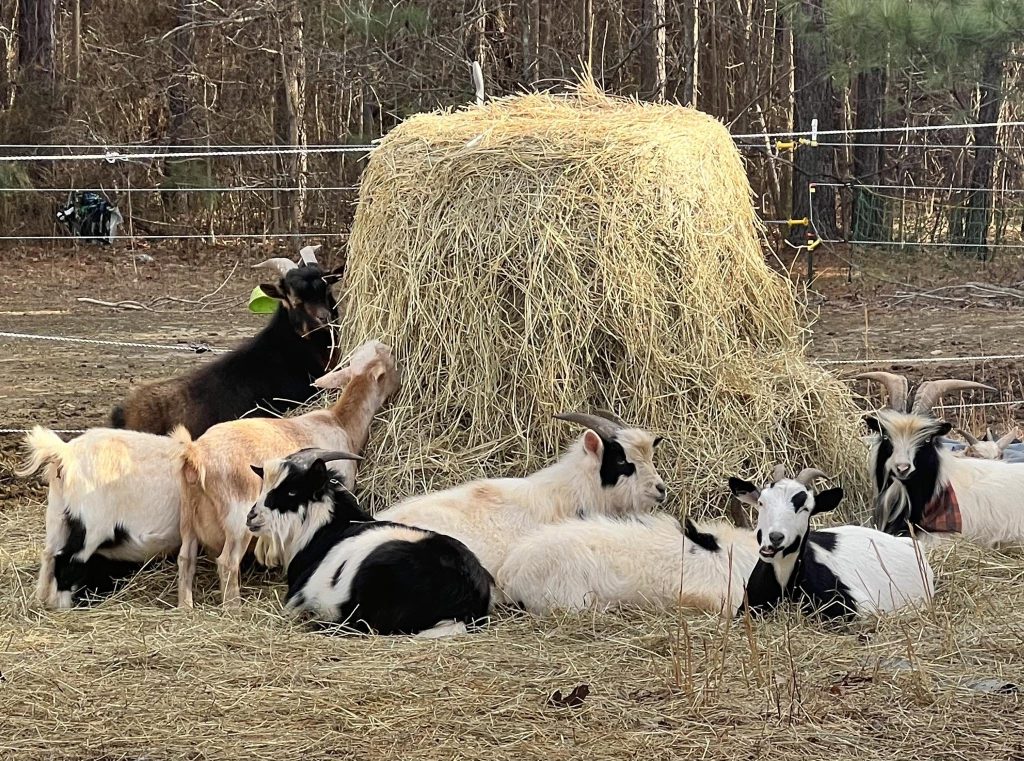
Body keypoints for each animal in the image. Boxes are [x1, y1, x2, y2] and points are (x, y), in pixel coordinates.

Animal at [17, 427, 188, 609]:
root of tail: (66, 453)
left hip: (57, 515)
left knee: (49, 555)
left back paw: (40, 601)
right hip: (93, 525)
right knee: (66, 560)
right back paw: (64, 608)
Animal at [177, 340, 400, 608]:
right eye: (390, 357)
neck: (340, 422)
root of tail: (196, 455)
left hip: (187, 514)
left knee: (185, 559)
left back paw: (185, 607)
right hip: (238, 515)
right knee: (227, 562)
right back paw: (234, 607)